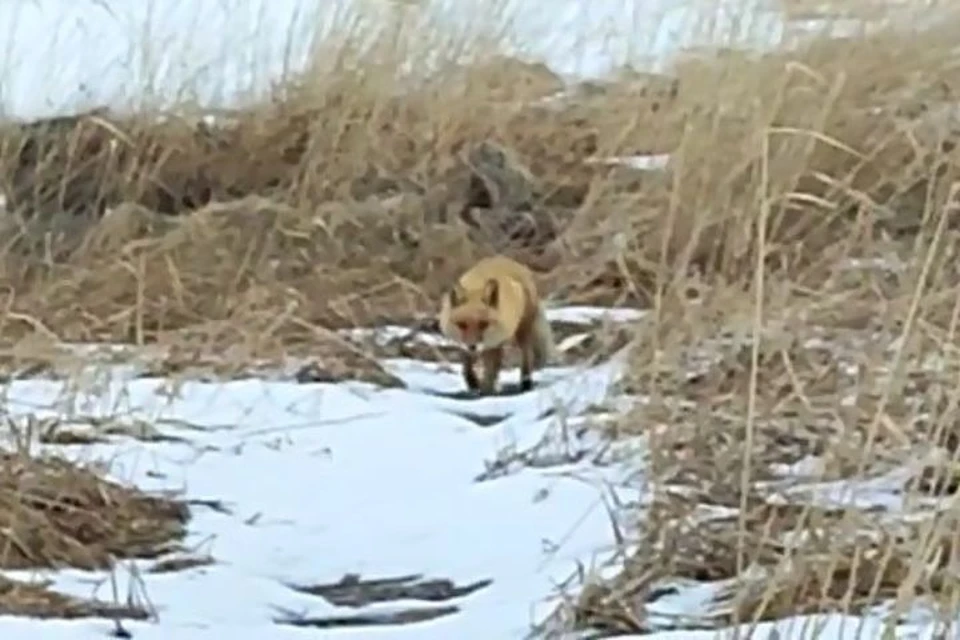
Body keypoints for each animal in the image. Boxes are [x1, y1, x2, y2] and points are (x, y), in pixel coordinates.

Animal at [436, 255, 556, 396]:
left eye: (483, 324)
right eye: (462, 325)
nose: (472, 346)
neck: (476, 284)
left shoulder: (493, 343)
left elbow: (489, 370)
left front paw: (485, 390)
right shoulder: (465, 345)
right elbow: (467, 367)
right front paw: (473, 383)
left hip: (521, 333)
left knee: (526, 356)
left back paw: (525, 383)